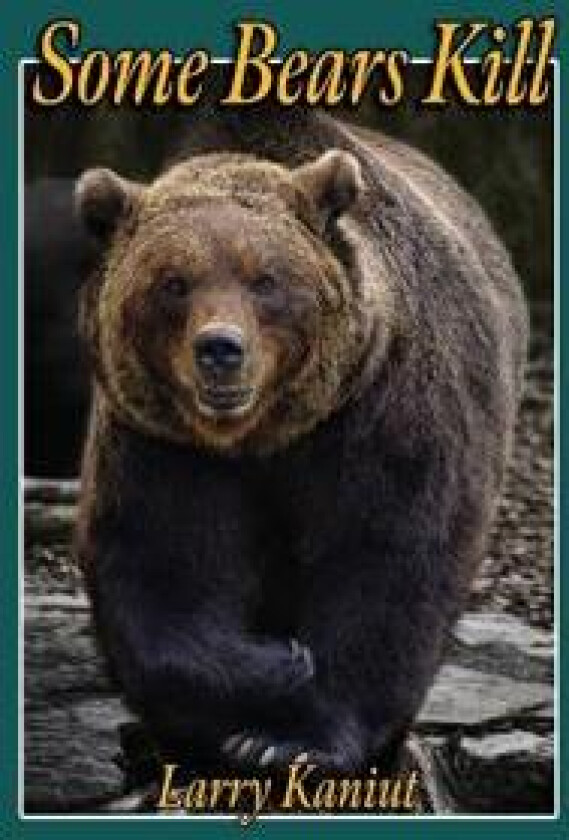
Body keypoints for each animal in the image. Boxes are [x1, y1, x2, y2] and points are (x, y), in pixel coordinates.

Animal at [74, 108, 528, 779]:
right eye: (173, 282)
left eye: (265, 280)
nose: (220, 350)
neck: (264, 436)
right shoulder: (162, 442)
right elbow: (159, 565)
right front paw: (275, 671)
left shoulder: (382, 414)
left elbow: (388, 556)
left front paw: (295, 738)